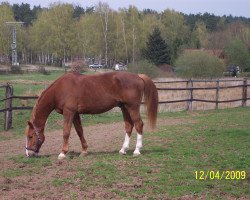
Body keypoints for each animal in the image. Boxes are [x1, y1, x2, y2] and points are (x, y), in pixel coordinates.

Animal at [25, 72, 158, 159]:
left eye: (30, 136)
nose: (28, 154)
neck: (60, 89)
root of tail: (138, 76)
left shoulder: (69, 112)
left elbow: (66, 132)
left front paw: (63, 153)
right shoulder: (75, 114)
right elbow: (80, 131)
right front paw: (84, 151)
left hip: (132, 107)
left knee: (139, 124)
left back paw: (137, 150)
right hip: (124, 107)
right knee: (129, 126)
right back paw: (123, 150)